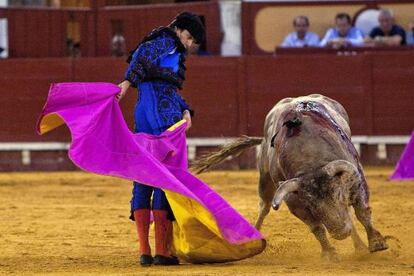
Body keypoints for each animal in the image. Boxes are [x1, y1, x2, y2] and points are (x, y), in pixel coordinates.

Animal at [193, 94, 388, 260]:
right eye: (311, 205)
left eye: (339, 195)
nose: (340, 232)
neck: (311, 159)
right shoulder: (294, 201)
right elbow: (316, 227)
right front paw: (329, 254)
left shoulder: (356, 180)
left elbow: (362, 212)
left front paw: (377, 243)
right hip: (265, 180)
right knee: (264, 207)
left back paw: (360, 246)